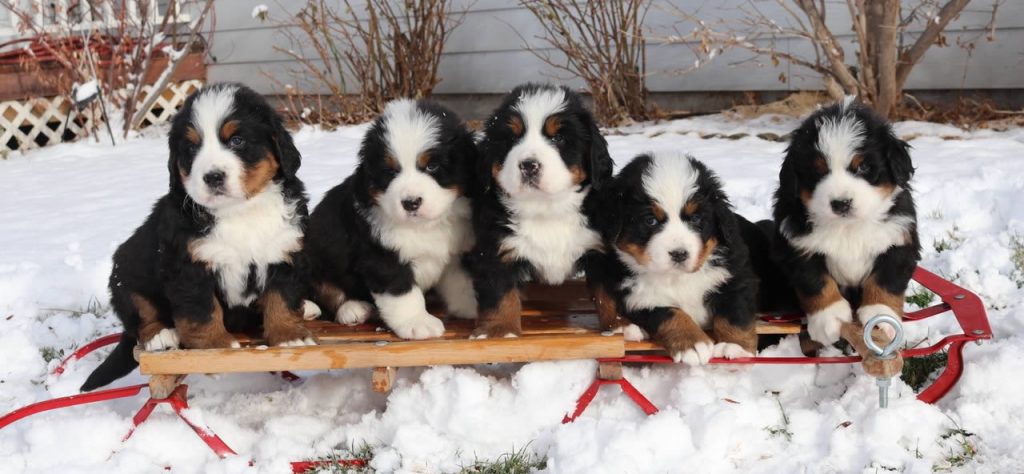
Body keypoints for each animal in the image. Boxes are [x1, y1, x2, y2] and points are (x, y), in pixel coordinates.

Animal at [81, 83, 315, 391]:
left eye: (237, 140)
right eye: (191, 148)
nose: (213, 176)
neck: (240, 211)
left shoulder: (284, 250)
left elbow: (282, 299)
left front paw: (289, 336)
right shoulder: (189, 265)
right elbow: (203, 311)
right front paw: (214, 349)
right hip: (126, 270)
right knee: (140, 312)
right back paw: (160, 335)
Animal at [303, 98, 479, 339]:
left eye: (432, 166)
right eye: (391, 171)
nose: (411, 202)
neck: (424, 226)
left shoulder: (455, 253)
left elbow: (460, 283)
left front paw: (471, 306)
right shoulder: (382, 256)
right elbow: (403, 292)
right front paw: (417, 323)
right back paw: (345, 308)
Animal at [466, 83, 614, 339]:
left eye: (559, 138)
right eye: (511, 139)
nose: (528, 165)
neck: (546, 208)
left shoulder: (601, 248)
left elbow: (609, 295)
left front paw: (619, 326)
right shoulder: (496, 246)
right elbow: (499, 293)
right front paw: (499, 331)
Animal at [593, 152, 761, 364]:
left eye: (696, 219)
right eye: (650, 220)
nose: (679, 253)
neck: (676, 277)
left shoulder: (734, 275)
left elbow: (735, 315)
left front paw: (735, 347)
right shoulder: (639, 298)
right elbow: (670, 314)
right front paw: (692, 343)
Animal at [770, 98, 925, 346]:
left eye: (863, 166)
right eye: (817, 171)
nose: (840, 203)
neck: (849, 228)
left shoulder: (899, 239)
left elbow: (885, 281)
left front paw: (881, 317)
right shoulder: (796, 244)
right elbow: (816, 282)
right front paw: (828, 320)